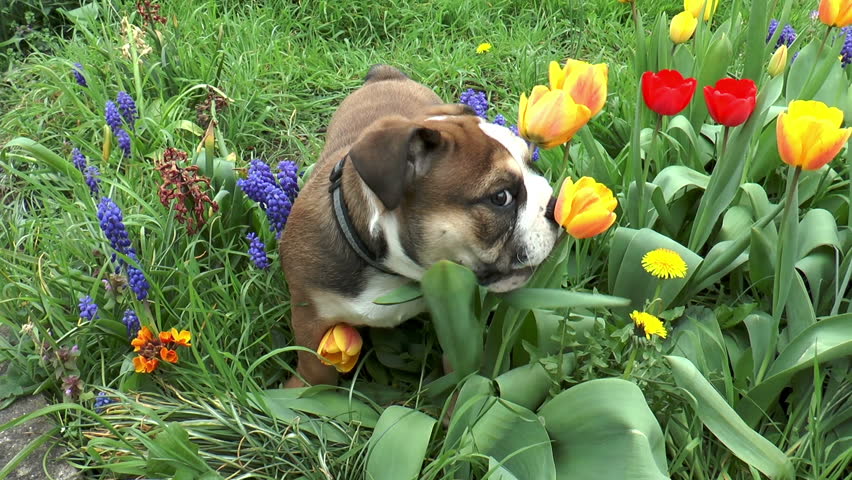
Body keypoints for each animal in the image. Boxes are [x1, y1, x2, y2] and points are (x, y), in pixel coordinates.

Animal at [280, 65, 560, 386]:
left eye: (532, 165)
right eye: (501, 197)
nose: (555, 205)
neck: (388, 270)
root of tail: (386, 75)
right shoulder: (310, 316)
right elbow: (314, 367)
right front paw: (300, 391)